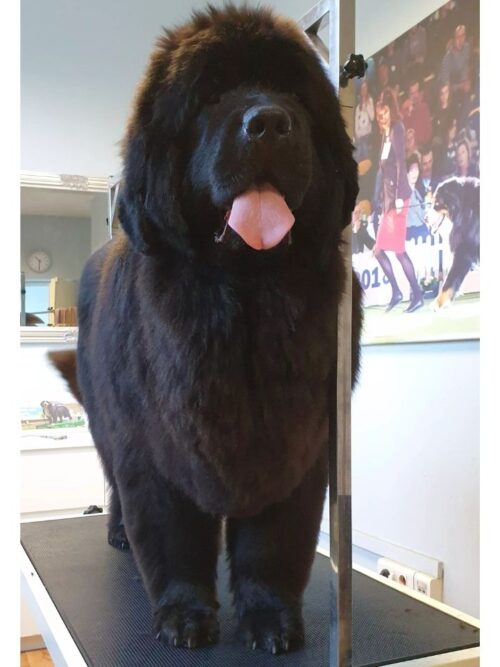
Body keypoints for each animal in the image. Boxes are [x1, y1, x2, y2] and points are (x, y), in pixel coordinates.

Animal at [49, 5, 361, 655]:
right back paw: (119, 533)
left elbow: (273, 546)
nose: (269, 122)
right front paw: (185, 614)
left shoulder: (301, 445)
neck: (244, 304)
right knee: (114, 486)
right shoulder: (152, 447)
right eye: (212, 96)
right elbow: (171, 536)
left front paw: (270, 619)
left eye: (295, 95)